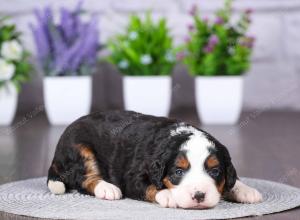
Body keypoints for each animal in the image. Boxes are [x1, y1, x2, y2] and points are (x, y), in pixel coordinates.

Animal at [47, 111, 262, 209]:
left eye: (215, 171)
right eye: (178, 172)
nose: (199, 195)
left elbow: (233, 179)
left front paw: (246, 190)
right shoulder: (132, 177)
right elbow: (151, 186)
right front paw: (168, 195)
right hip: (80, 150)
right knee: (84, 179)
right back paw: (107, 188)